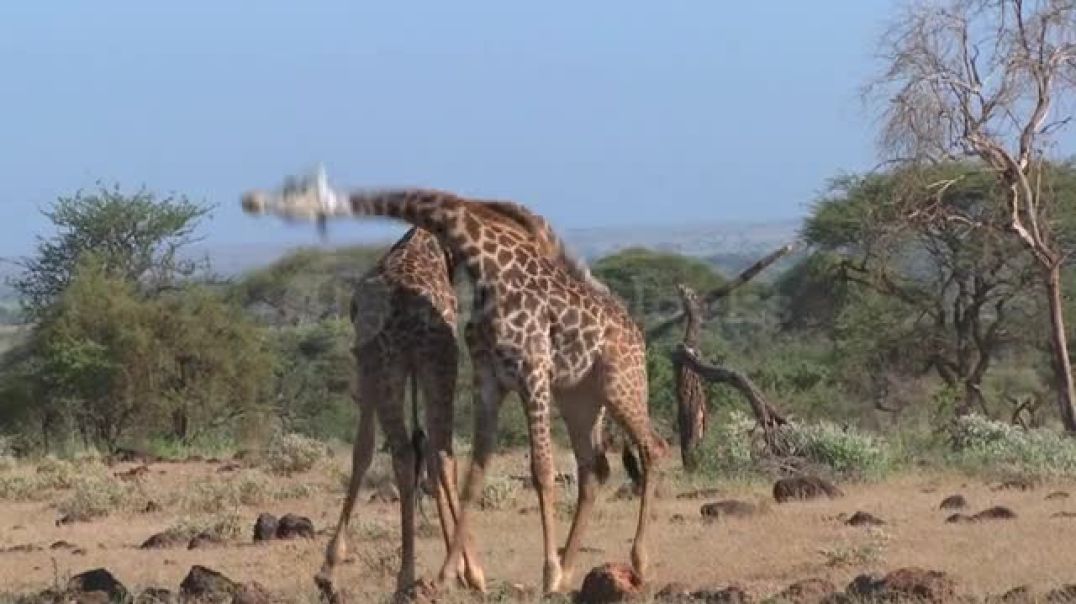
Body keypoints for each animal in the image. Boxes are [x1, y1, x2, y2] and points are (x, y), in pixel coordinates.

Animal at [243, 180, 662, 590]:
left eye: (296, 190)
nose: (251, 201)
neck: (488, 266)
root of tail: (635, 329)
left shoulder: (532, 374)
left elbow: (540, 470)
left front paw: (544, 573)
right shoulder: (489, 381)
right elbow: (474, 474)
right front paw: (452, 572)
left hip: (618, 385)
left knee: (652, 447)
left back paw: (634, 562)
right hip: (578, 398)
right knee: (594, 467)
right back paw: (571, 568)